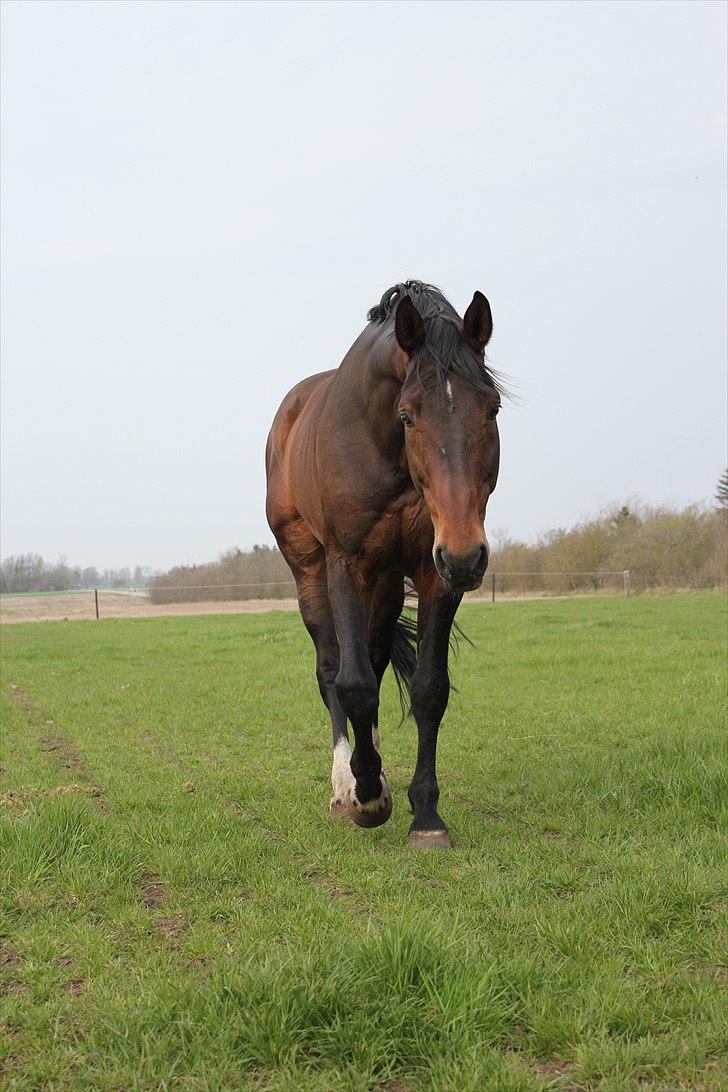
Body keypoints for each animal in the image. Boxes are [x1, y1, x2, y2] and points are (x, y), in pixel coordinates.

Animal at [266, 277, 502, 847]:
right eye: (408, 414)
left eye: (492, 408)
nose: (466, 553)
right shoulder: (346, 564)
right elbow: (350, 684)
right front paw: (366, 797)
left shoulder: (435, 572)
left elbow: (428, 690)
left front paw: (426, 815)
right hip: (309, 566)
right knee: (332, 667)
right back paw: (345, 786)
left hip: (389, 580)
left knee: (372, 659)